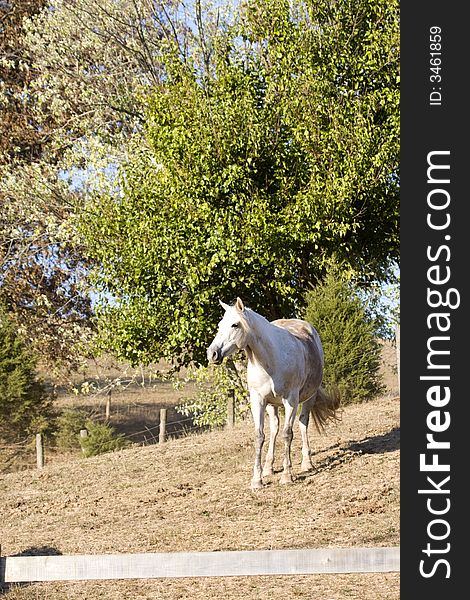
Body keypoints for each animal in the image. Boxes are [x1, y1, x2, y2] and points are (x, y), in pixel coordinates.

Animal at [207, 298, 340, 490]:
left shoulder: (291, 400)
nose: (212, 353)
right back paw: (269, 468)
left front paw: (287, 476)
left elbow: (287, 434)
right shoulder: (258, 401)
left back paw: (307, 463)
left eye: (235, 325)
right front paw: (257, 479)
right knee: (274, 428)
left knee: (303, 424)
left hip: (309, 397)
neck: (270, 361)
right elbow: (260, 436)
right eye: (219, 325)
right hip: (272, 404)